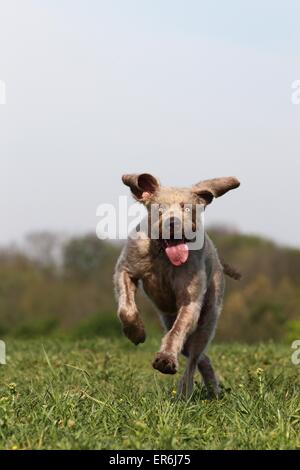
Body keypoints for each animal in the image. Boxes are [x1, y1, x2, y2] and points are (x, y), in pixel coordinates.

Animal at [113, 173, 240, 396]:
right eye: (159, 208)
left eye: (187, 208)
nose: (173, 223)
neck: (163, 255)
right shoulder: (126, 268)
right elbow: (126, 308)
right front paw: (136, 332)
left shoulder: (191, 300)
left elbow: (177, 332)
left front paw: (165, 360)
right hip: (167, 316)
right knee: (197, 355)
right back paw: (211, 388)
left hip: (209, 316)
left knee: (194, 356)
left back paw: (186, 390)